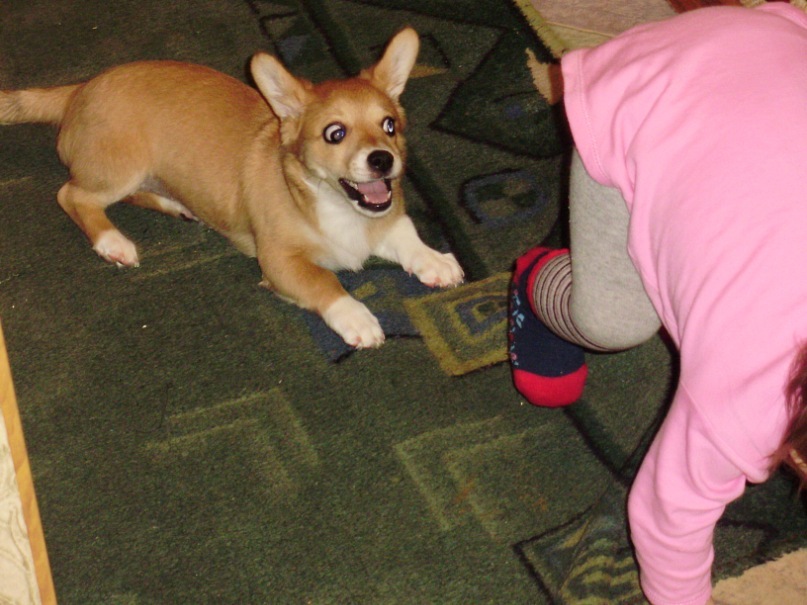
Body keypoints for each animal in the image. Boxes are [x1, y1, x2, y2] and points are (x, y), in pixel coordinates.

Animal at [0, 27, 464, 348]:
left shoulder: (385, 220)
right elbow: (325, 283)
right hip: (121, 168)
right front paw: (357, 317)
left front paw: (434, 260)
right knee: (72, 195)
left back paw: (174, 205)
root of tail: (80, 88)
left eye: (389, 125)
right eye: (335, 134)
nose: (383, 160)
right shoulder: (280, 262)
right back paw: (113, 243)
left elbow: (405, 233)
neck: (334, 206)